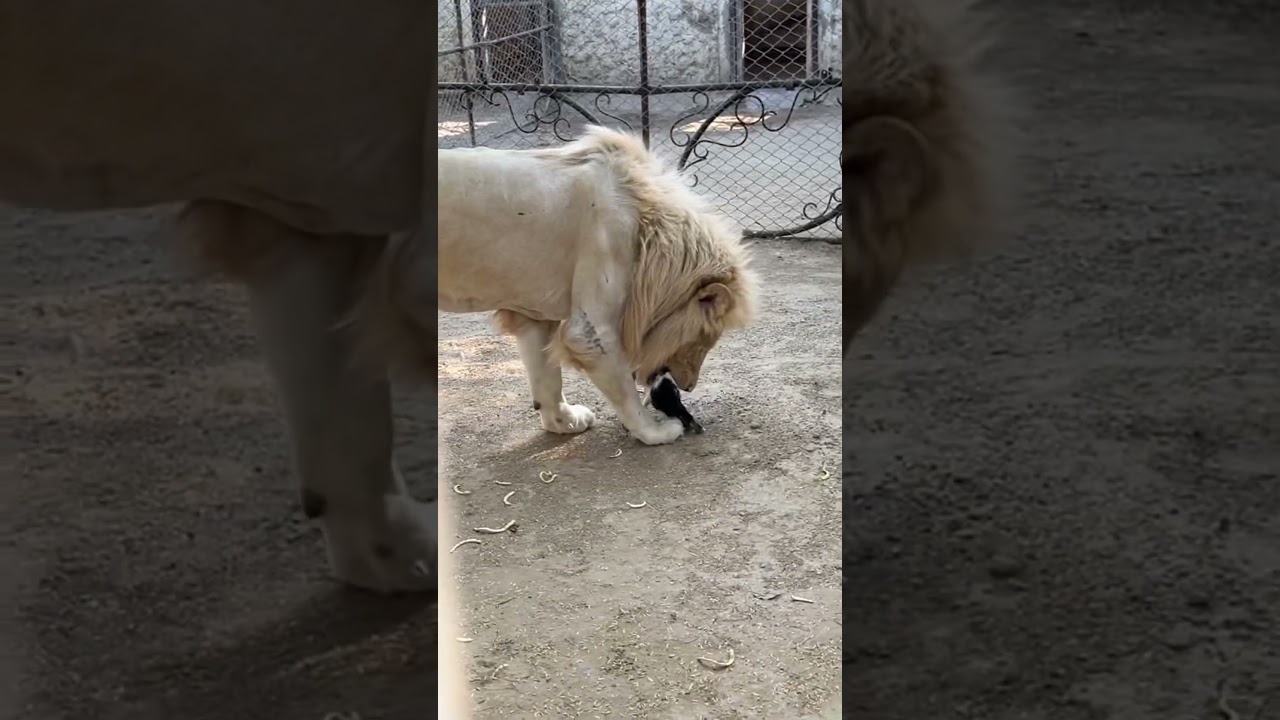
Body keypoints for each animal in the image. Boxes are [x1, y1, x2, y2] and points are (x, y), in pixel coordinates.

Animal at [355, 125, 759, 446]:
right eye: (705, 338)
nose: (688, 387)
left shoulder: (534, 314)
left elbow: (546, 378)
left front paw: (563, 423)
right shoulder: (591, 327)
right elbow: (623, 388)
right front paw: (655, 432)